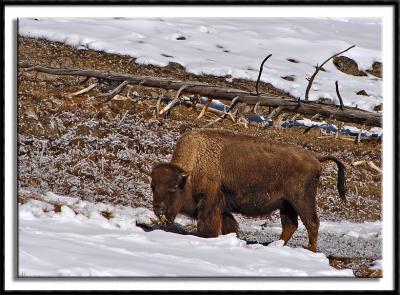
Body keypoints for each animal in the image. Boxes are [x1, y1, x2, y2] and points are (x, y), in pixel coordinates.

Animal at [148, 130, 346, 252]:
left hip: (302, 200)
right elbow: (229, 226)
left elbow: (208, 227)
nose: (158, 208)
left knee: (312, 224)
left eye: (174, 187)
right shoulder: (222, 209)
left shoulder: (209, 205)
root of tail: (316, 157)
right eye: (153, 186)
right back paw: (275, 246)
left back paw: (311, 251)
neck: (190, 173)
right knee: (291, 225)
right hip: (286, 204)